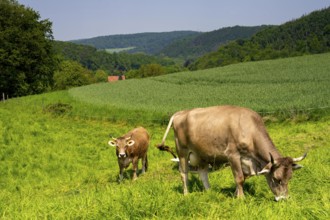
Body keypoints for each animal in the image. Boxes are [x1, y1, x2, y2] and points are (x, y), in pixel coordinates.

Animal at [157, 106, 306, 201]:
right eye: (276, 178)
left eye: (289, 178)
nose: (284, 199)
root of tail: (180, 113)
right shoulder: (232, 155)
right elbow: (239, 178)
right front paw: (241, 198)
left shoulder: (245, 160)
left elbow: (243, 178)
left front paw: (235, 195)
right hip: (182, 151)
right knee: (184, 173)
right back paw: (186, 194)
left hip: (201, 154)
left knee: (203, 173)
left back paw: (210, 191)